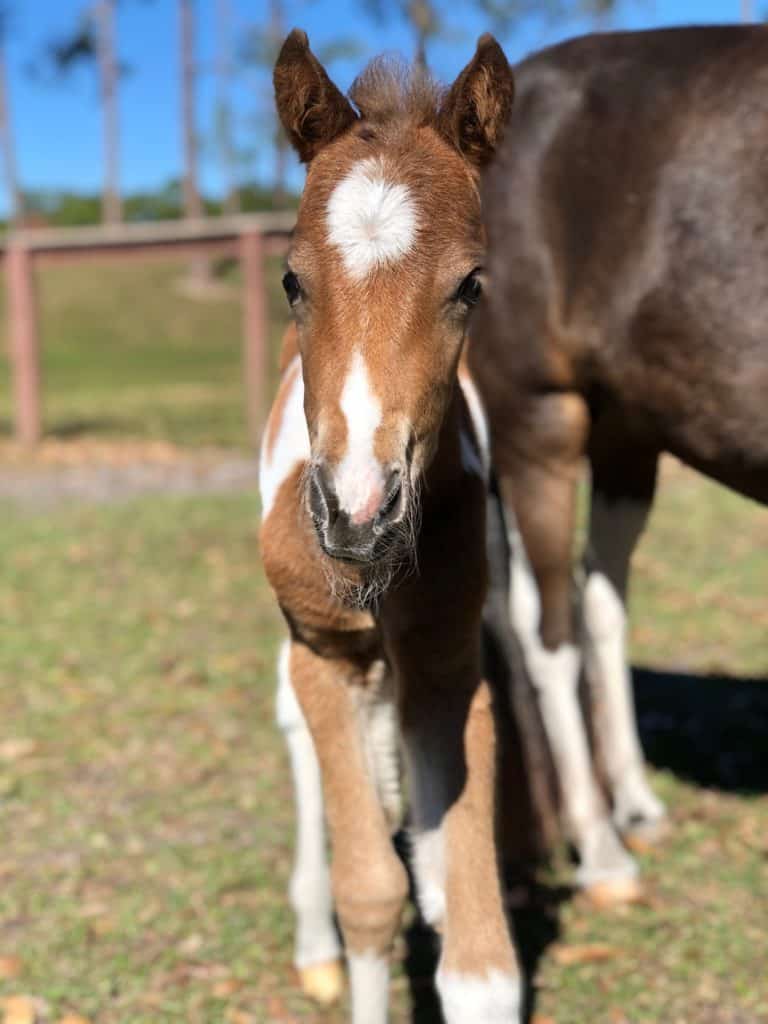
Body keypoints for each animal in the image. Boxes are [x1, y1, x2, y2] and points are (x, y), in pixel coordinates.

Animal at [260, 29, 523, 1023]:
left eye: (471, 286)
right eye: (291, 280)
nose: (357, 513)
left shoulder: (449, 661)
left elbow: (478, 953)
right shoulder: (325, 652)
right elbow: (370, 891)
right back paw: (313, 945)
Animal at [472, 23, 768, 892]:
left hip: (627, 436)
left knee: (601, 603)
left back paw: (633, 802)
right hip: (538, 420)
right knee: (546, 627)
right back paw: (601, 846)